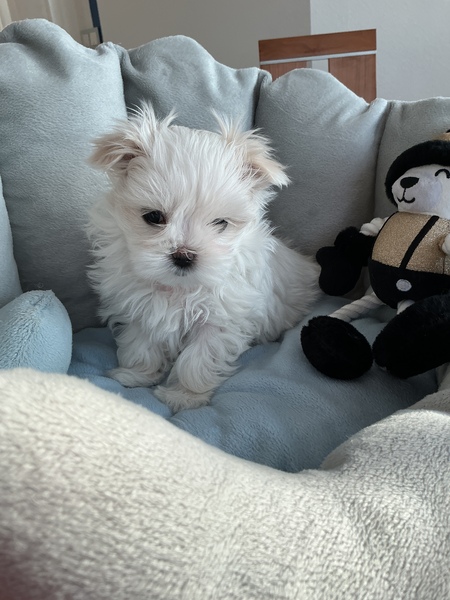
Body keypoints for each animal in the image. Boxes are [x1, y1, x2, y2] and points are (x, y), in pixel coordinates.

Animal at [87, 104, 319, 412]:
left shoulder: (220, 320)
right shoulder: (140, 308)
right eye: (154, 217)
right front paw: (136, 375)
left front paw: (184, 396)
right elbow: (141, 345)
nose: (184, 255)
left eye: (220, 223)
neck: (178, 289)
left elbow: (197, 360)